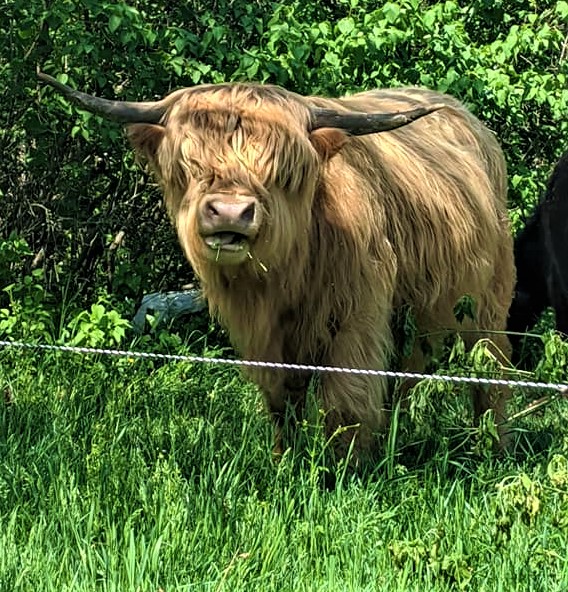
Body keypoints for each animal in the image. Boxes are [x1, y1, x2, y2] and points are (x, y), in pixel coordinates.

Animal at [38, 71, 516, 456]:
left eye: (282, 172)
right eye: (189, 166)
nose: (230, 213)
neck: (284, 279)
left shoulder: (355, 321)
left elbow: (347, 402)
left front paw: (341, 475)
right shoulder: (265, 339)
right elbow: (282, 401)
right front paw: (283, 461)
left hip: (489, 301)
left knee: (489, 373)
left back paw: (490, 448)